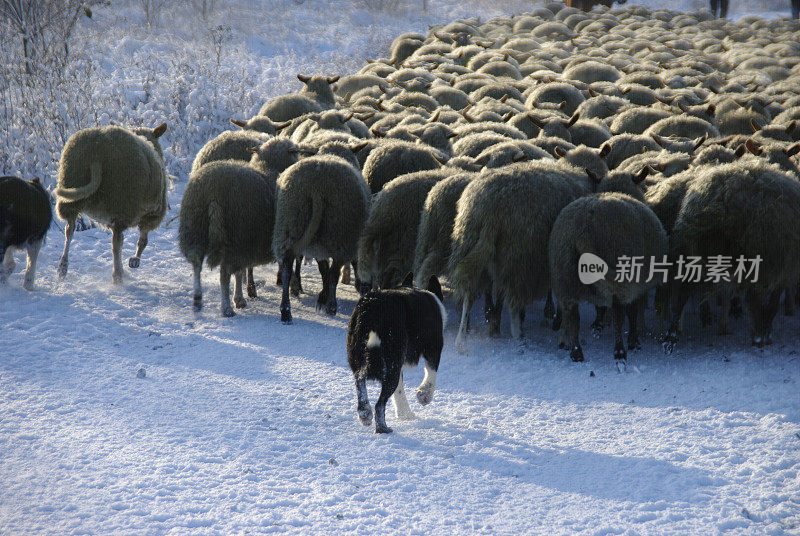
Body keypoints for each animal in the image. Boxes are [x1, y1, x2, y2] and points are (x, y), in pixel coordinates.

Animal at [55, 123, 169, 284]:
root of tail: (97, 155)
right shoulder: (153, 214)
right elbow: (143, 240)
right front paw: (135, 261)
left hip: (71, 189)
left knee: (69, 230)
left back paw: (62, 268)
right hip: (122, 203)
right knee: (117, 243)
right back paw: (118, 275)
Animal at [270, 152, 368, 322]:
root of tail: (317, 187)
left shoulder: (318, 246)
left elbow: (323, 271)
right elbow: (330, 272)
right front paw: (326, 299)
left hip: (290, 225)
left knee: (287, 267)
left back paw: (286, 311)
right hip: (338, 235)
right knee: (334, 273)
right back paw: (331, 306)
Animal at [344, 274, 444, 434]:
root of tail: (373, 305)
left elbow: (399, 391)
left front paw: (405, 414)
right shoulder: (434, 346)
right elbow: (431, 373)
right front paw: (424, 395)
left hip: (364, 359)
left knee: (360, 380)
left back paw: (365, 413)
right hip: (391, 365)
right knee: (379, 405)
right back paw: (383, 428)